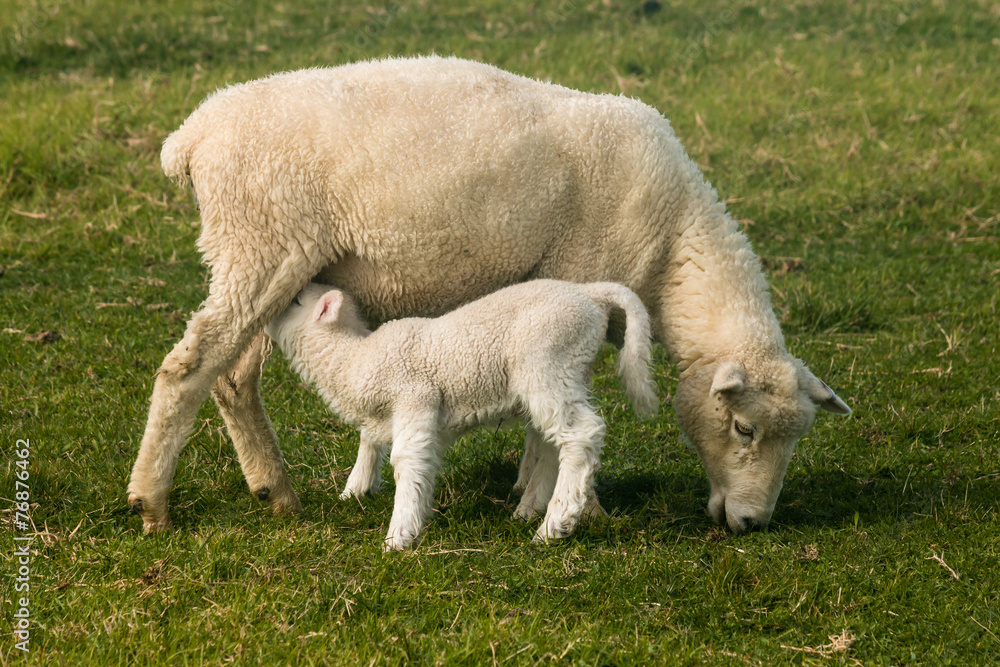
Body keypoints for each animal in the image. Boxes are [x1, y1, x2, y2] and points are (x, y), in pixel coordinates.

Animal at [264, 279, 658, 549]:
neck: (354, 357)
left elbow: (408, 461)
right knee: (553, 443)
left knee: (582, 434)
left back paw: (554, 526)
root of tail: (590, 294)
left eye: (295, 301)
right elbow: (374, 441)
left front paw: (400, 535)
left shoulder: (416, 397)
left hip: (549, 362)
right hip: (566, 372)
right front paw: (355, 491)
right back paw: (529, 509)